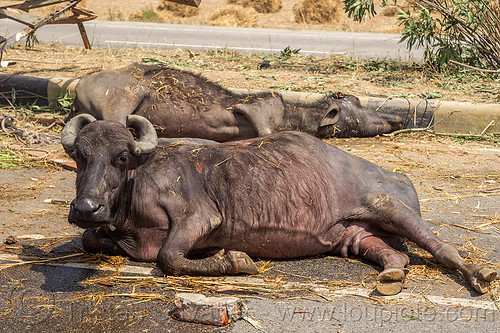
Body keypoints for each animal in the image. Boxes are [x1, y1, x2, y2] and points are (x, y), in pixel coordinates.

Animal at [59, 114, 496, 296]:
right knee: (397, 257)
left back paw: (479, 274)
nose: (85, 207)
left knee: (442, 247)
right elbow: (90, 240)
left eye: (120, 156)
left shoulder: (201, 218)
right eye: (79, 155)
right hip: (354, 235)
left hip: (390, 207)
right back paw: (390, 278)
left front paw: (235, 261)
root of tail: (399, 176)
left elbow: (168, 257)